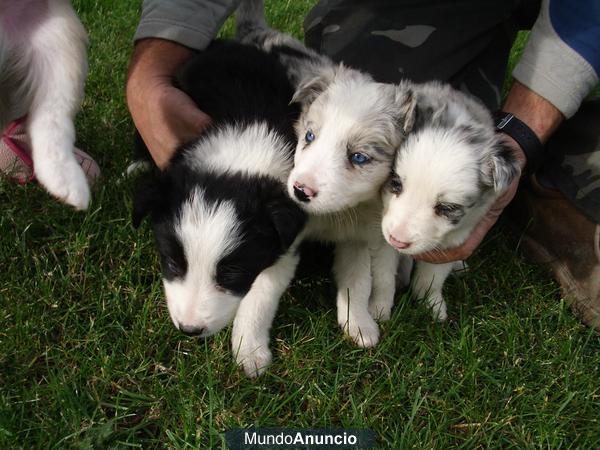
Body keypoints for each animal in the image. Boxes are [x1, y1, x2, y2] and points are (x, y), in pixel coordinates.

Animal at [134, 40, 308, 376]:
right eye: (172, 263)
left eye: (232, 274)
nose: (189, 330)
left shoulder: (285, 239)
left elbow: (262, 294)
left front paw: (250, 351)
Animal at [382, 81, 524, 320]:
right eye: (395, 183)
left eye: (446, 208)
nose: (398, 241)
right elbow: (382, 274)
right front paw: (377, 311)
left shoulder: (454, 238)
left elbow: (431, 277)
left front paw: (431, 306)